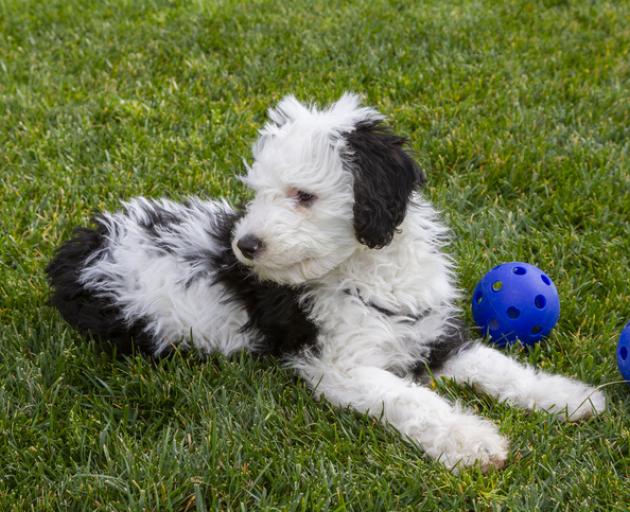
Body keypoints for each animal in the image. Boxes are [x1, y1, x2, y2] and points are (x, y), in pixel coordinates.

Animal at [47, 93, 608, 472]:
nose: (244, 245)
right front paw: (469, 440)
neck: (363, 274)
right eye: (259, 192)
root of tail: (85, 246)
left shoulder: (432, 335)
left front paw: (567, 397)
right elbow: (412, 398)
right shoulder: (335, 364)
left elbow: (500, 367)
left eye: (304, 195)